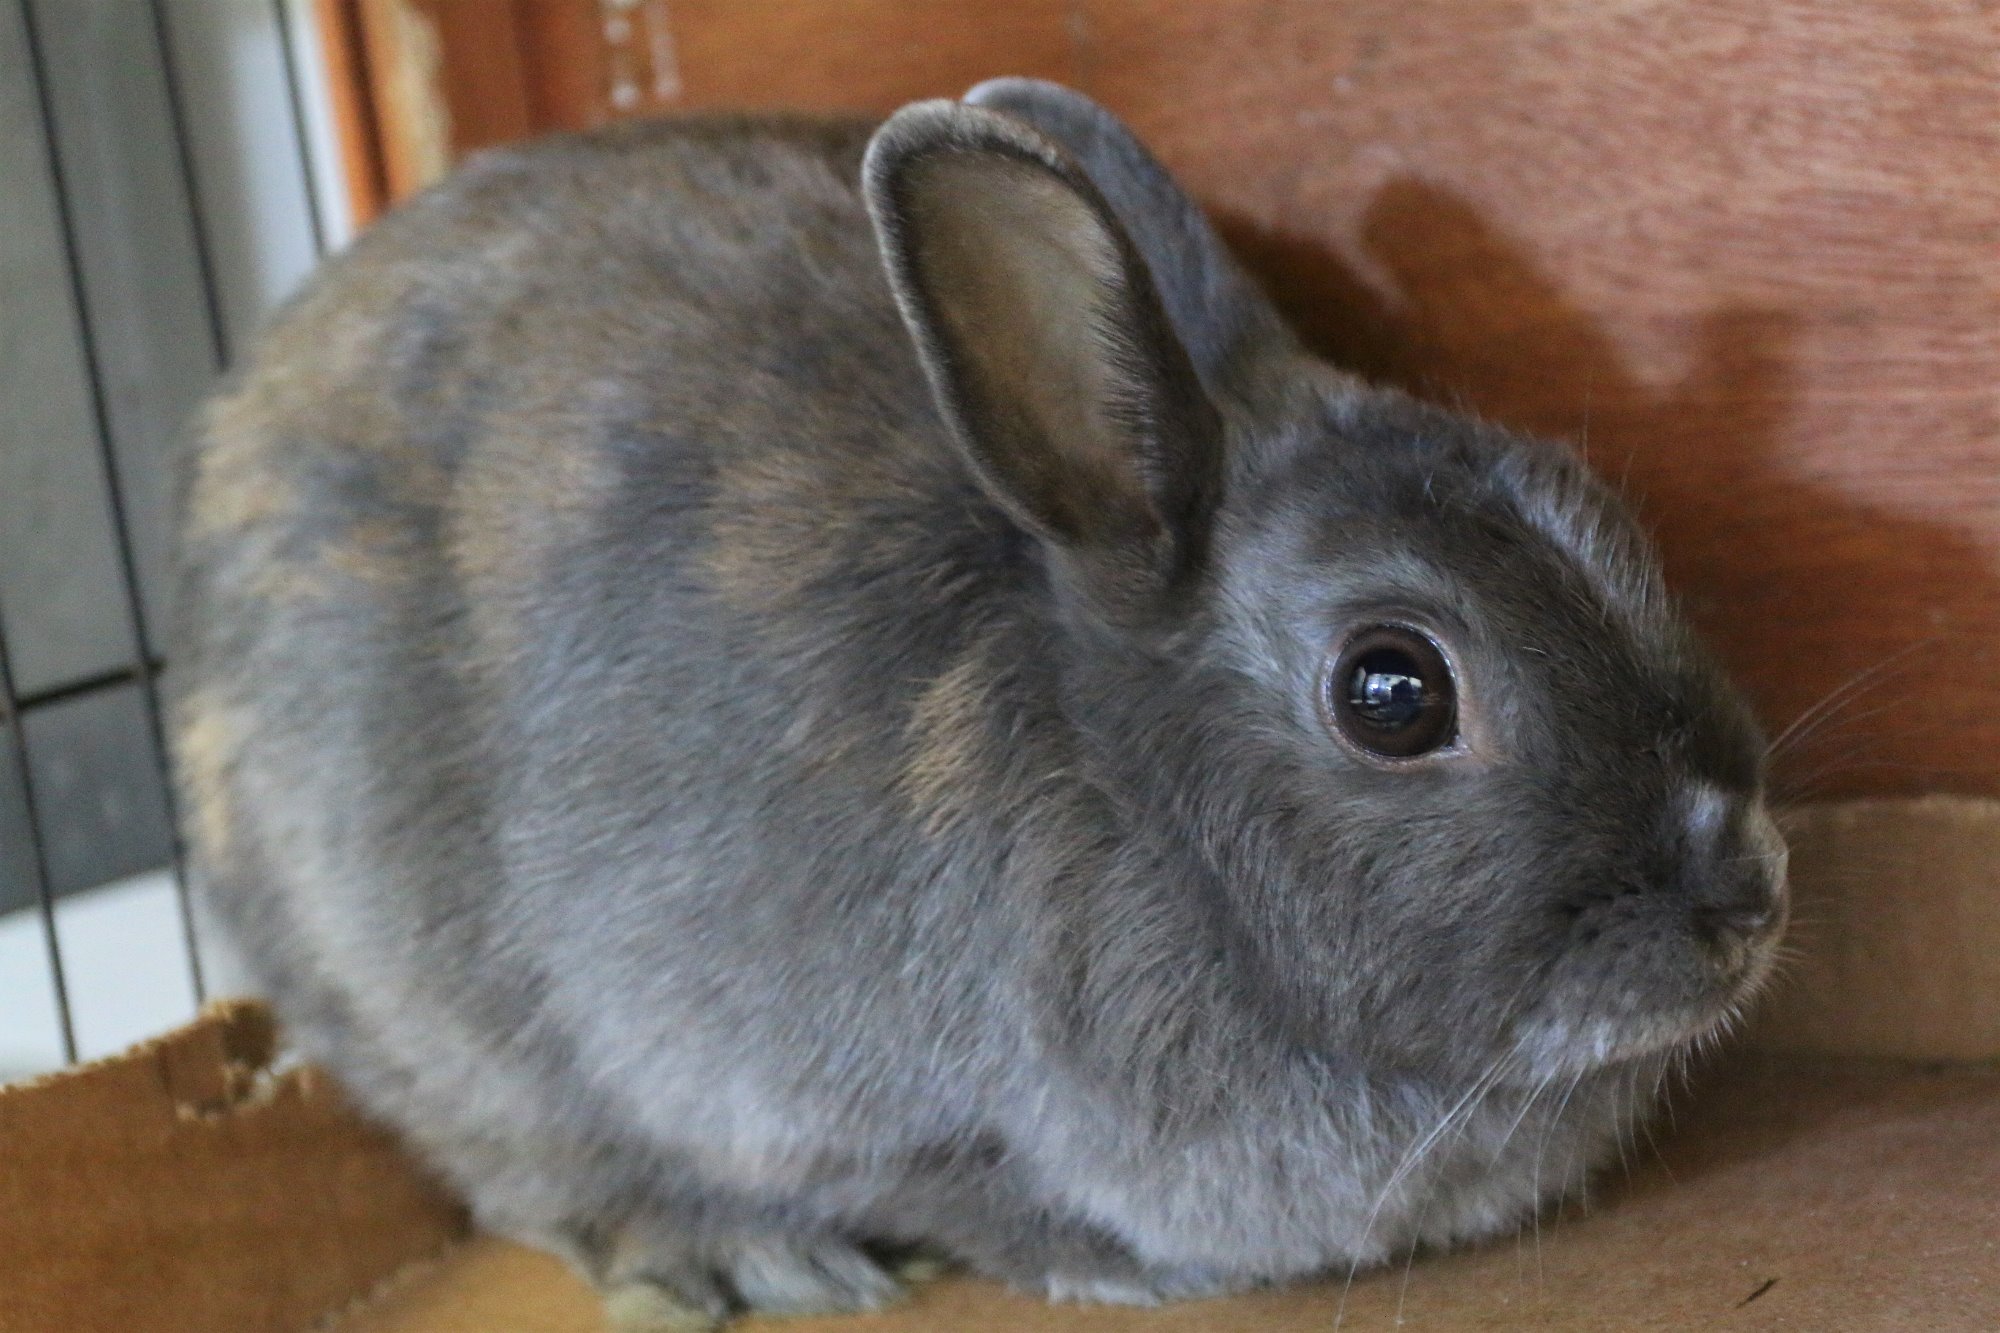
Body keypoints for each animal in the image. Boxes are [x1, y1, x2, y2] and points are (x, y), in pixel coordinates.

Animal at [169, 78, 1788, 1328]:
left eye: (1602, 523)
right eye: (1393, 692)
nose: (1747, 893)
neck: (1131, 792)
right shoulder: (818, 1093)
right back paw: (725, 1251)